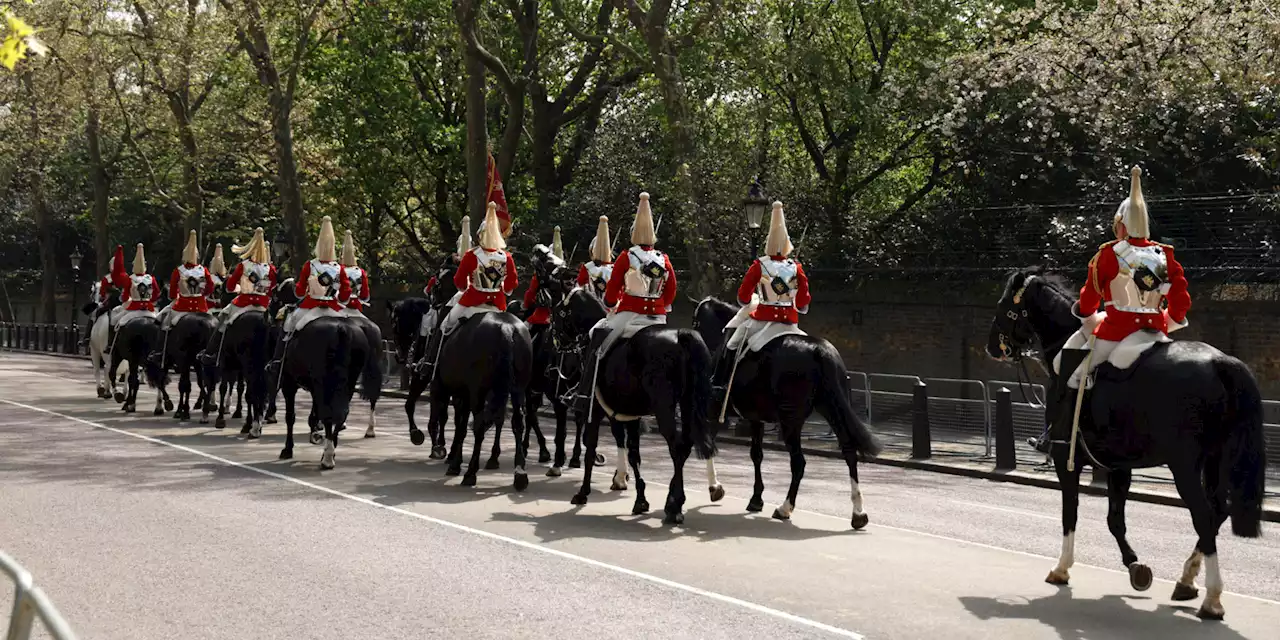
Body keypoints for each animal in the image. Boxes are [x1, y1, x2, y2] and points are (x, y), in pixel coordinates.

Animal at [271, 282, 381, 468]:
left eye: (274, 299)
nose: (270, 317)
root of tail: (342, 329)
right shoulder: (314, 386)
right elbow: (315, 412)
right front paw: (315, 431)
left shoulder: (289, 383)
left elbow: (290, 416)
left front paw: (288, 448)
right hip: (349, 381)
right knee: (343, 411)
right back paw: (333, 449)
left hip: (325, 381)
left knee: (329, 413)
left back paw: (328, 457)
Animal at [555, 290, 721, 524]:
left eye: (557, 311)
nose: (558, 342)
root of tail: (681, 336)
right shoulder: (631, 415)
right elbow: (634, 455)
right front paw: (640, 499)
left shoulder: (595, 411)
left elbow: (591, 447)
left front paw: (582, 492)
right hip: (688, 404)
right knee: (686, 445)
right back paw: (673, 502)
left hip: (664, 408)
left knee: (677, 447)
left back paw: (674, 506)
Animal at [696, 296, 885, 527]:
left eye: (696, 322)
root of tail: (820, 351)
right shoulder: (755, 418)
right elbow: (756, 455)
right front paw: (756, 498)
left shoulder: (715, 411)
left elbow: (710, 445)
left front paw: (715, 488)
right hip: (832, 410)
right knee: (849, 452)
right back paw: (858, 513)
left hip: (791, 421)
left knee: (798, 462)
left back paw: (784, 508)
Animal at [983, 266, 1264, 619]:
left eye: (1003, 304)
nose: (992, 347)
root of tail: (1222, 363)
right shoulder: (1118, 466)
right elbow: (1115, 520)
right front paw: (1135, 567)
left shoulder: (1066, 459)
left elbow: (1070, 514)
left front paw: (1062, 568)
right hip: (1215, 460)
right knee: (1217, 513)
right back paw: (1186, 580)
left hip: (1184, 465)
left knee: (1203, 516)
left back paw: (1212, 599)